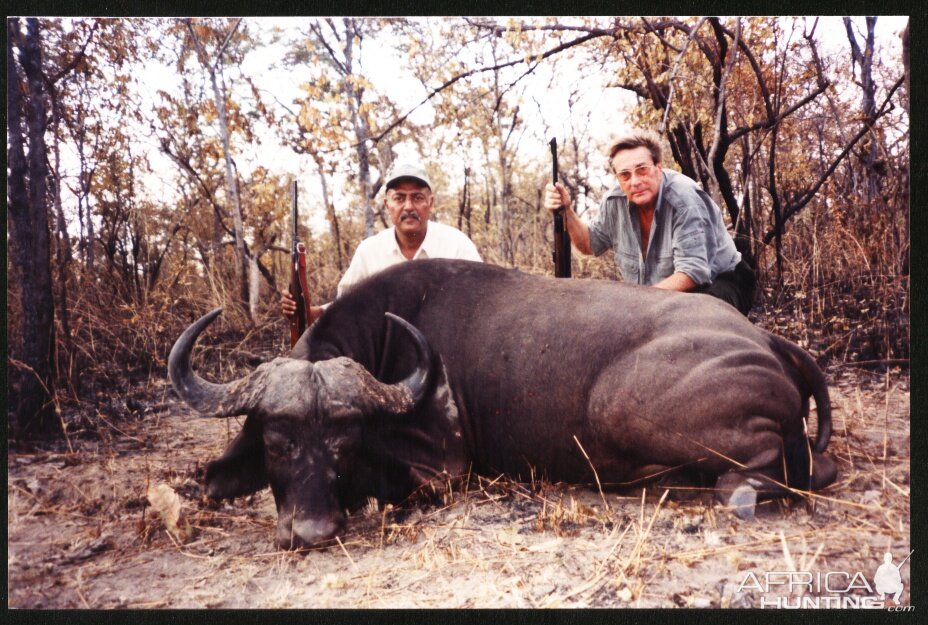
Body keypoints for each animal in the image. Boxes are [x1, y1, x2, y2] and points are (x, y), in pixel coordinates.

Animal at [169, 259, 836, 549]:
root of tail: (765, 340)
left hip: (624, 410)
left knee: (764, 477)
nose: (312, 531)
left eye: (345, 440)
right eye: (278, 442)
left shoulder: (445, 468)